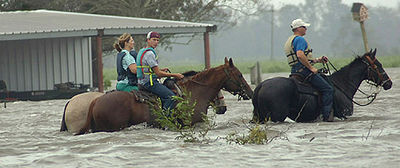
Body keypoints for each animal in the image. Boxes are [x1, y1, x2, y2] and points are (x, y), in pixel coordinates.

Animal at [252, 49, 392, 122]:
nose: (389, 83)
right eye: (378, 65)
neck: (342, 85)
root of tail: (260, 86)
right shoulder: (343, 115)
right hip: (276, 117)